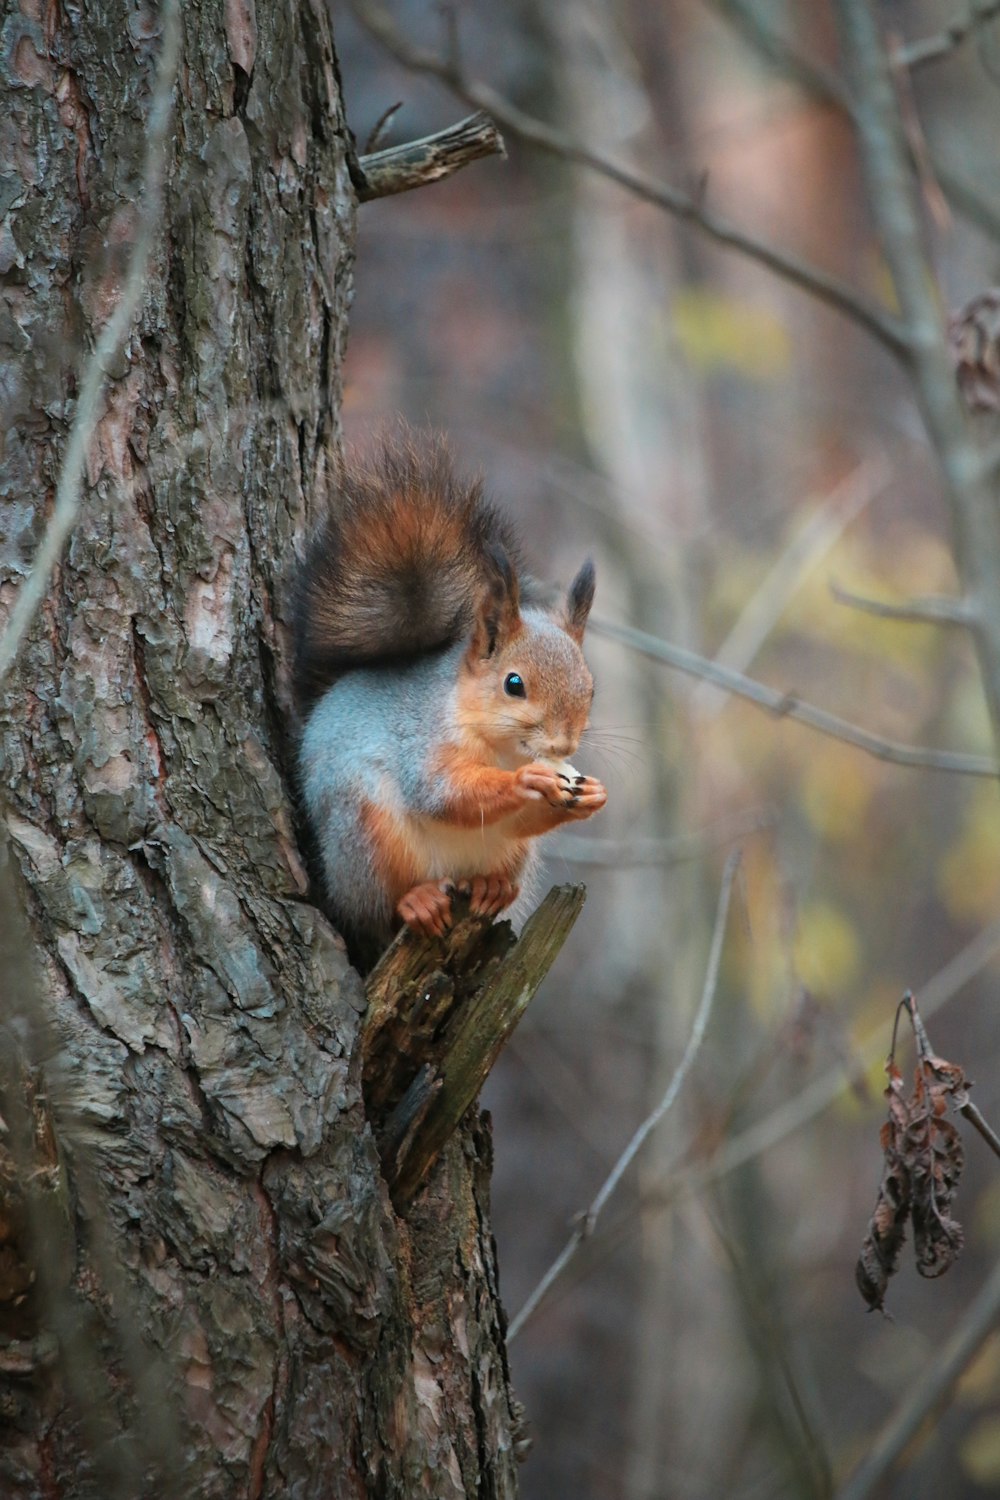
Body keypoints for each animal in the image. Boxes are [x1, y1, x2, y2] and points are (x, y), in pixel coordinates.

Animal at [293, 435, 605, 972]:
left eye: (590, 688)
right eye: (514, 683)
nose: (564, 745)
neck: (503, 749)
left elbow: (518, 818)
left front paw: (591, 796)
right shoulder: (420, 742)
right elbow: (443, 793)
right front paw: (528, 781)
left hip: (512, 854)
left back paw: (493, 887)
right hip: (365, 833)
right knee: (377, 909)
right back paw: (415, 901)